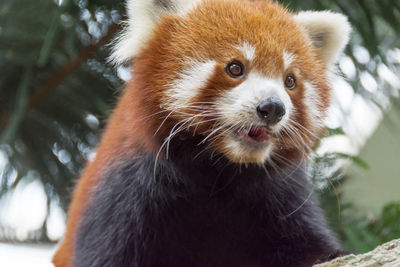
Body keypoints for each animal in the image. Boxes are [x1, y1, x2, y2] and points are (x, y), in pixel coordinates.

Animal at [52, 1, 350, 266]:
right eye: (235, 68)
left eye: (290, 81)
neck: (217, 168)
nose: (273, 108)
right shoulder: (123, 192)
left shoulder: (281, 193)